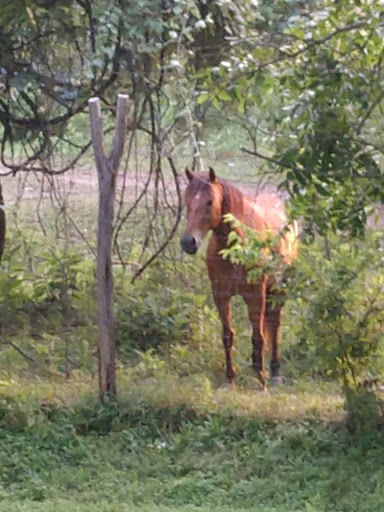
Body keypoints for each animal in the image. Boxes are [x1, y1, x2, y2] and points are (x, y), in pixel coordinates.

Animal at [181, 167, 300, 388]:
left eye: (209, 201)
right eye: (187, 200)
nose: (188, 242)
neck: (236, 248)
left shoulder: (255, 296)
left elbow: (259, 337)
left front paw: (261, 382)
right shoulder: (221, 296)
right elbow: (228, 335)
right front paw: (230, 379)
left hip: (278, 289)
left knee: (274, 325)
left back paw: (274, 372)